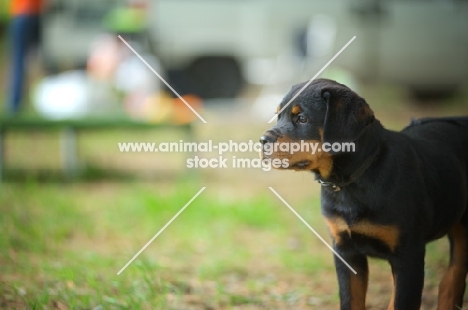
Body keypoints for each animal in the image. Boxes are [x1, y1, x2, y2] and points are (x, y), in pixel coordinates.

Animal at [260, 79, 468, 310]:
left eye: (302, 118)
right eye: (278, 115)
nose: (262, 140)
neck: (350, 184)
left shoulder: (408, 255)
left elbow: (401, 301)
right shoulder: (346, 252)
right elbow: (351, 300)